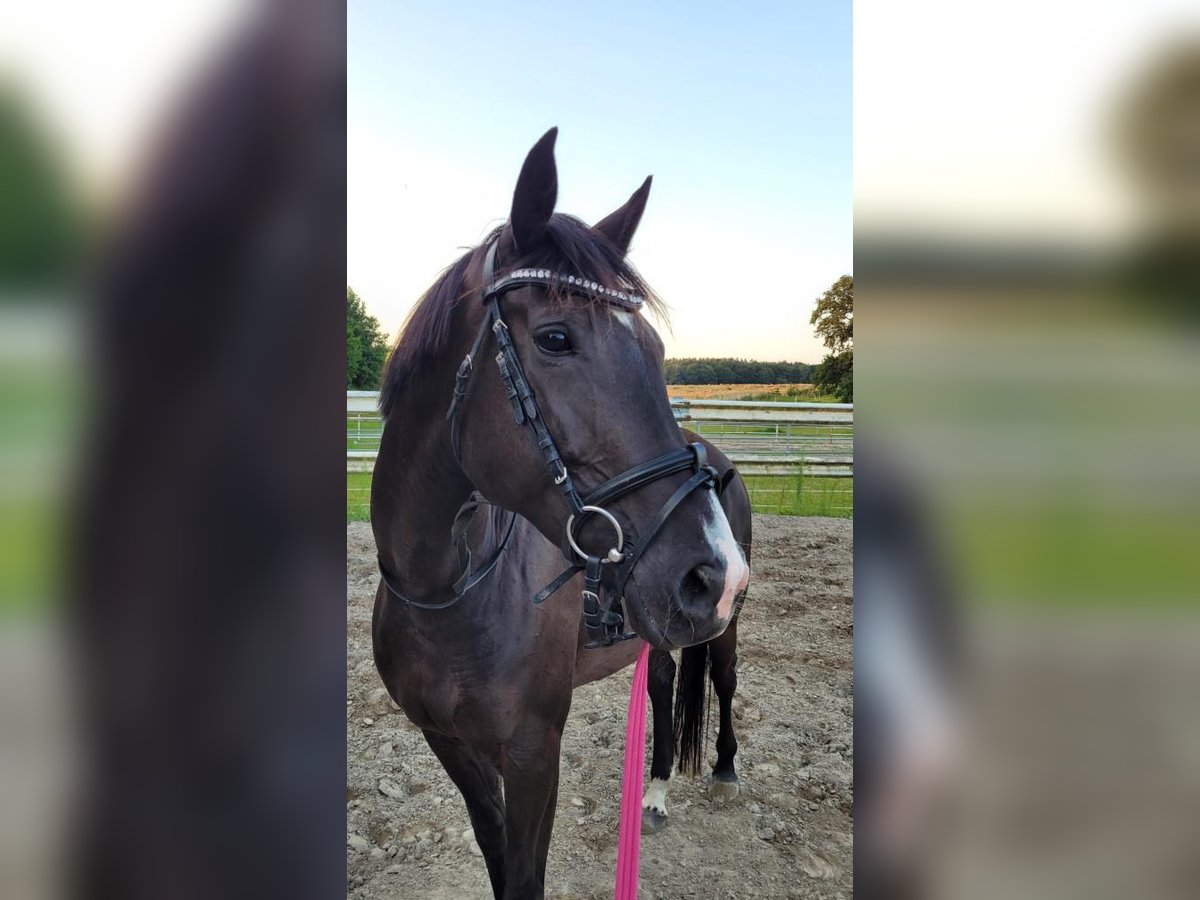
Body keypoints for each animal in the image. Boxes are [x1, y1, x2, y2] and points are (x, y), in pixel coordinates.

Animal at [372, 128, 748, 900]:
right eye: (554, 338)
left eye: (655, 350)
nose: (714, 573)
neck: (445, 593)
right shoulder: (450, 744)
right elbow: (495, 854)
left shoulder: (534, 749)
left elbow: (526, 872)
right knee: (663, 685)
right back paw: (653, 794)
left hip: (723, 630)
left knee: (722, 682)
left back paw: (724, 769)